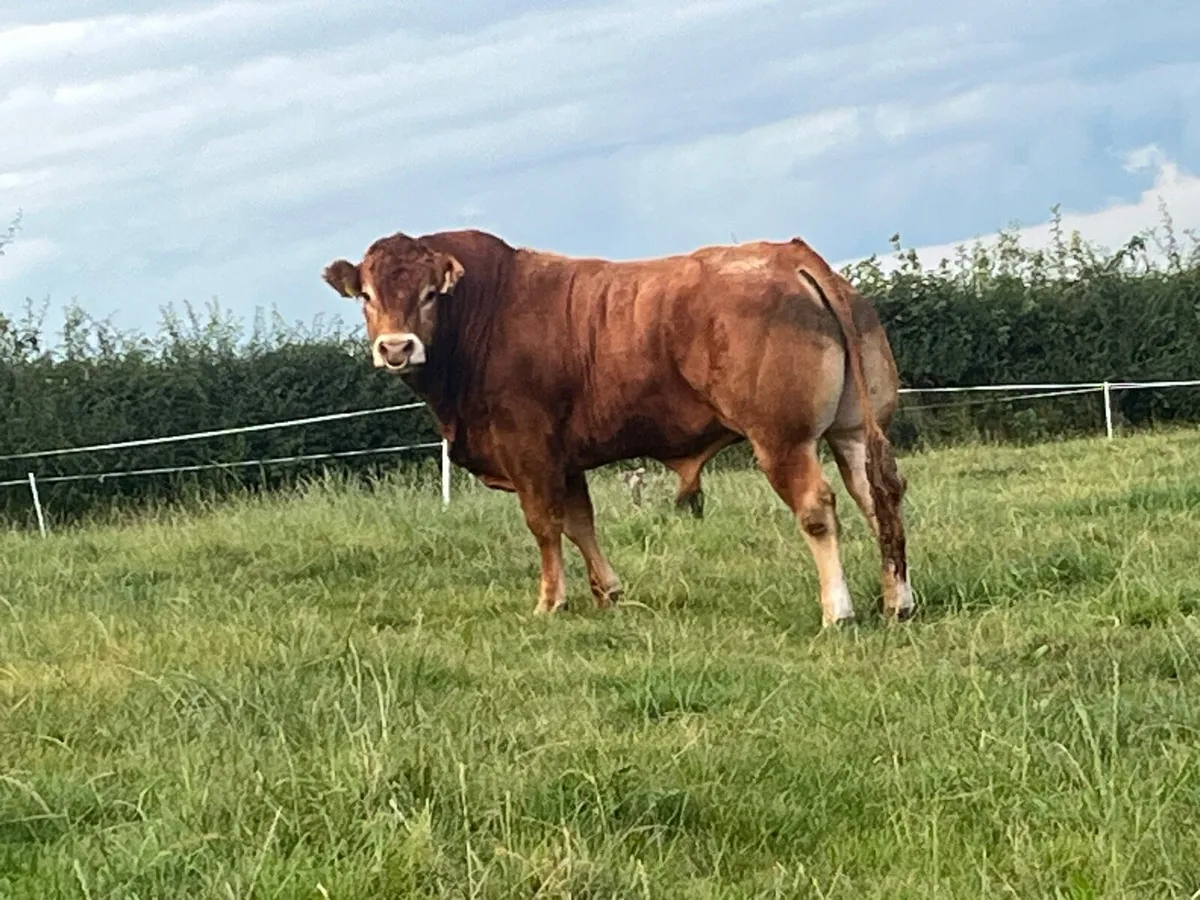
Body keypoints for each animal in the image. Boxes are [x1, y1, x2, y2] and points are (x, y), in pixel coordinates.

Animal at [321, 229, 913, 626]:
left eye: (428, 294)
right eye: (368, 296)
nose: (396, 347)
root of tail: (792, 255)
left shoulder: (529, 451)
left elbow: (545, 526)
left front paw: (549, 602)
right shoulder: (566, 459)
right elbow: (581, 523)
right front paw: (607, 593)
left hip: (782, 439)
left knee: (818, 508)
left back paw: (837, 610)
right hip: (853, 431)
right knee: (877, 498)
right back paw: (897, 601)